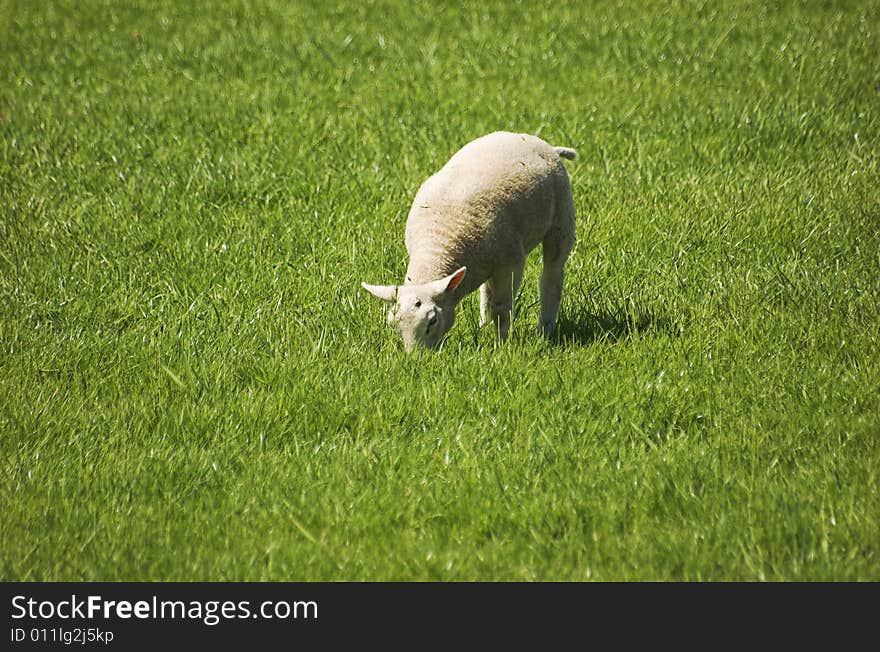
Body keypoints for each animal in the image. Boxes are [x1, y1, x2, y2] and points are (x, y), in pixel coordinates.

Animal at [362, 131, 576, 352]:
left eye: (432, 320)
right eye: (393, 324)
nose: (416, 357)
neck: (437, 244)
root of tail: (541, 143)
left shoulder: (511, 263)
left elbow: (501, 310)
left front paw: (501, 346)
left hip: (562, 218)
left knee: (552, 276)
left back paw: (545, 330)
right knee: (486, 292)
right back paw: (484, 325)